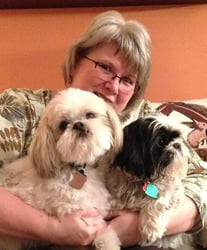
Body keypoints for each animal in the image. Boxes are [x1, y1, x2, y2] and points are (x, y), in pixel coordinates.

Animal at [0, 88, 123, 250]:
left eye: (90, 115)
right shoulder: (73, 208)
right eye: (63, 125)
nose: (79, 125)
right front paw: (108, 241)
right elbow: (99, 226)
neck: (75, 168)